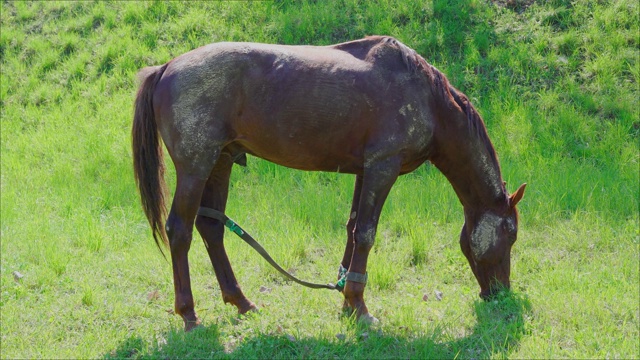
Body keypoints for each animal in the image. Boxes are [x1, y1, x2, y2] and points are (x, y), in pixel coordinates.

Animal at [131, 35, 524, 330]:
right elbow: (366, 234)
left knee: (211, 228)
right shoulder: (383, 168)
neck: (428, 98)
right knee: (179, 231)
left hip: (220, 162)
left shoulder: (365, 171)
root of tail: (166, 68)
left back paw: (241, 302)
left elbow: (353, 229)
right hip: (196, 167)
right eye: (510, 234)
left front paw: (348, 300)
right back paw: (189, 314)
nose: (500, 294)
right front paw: (360, 309)